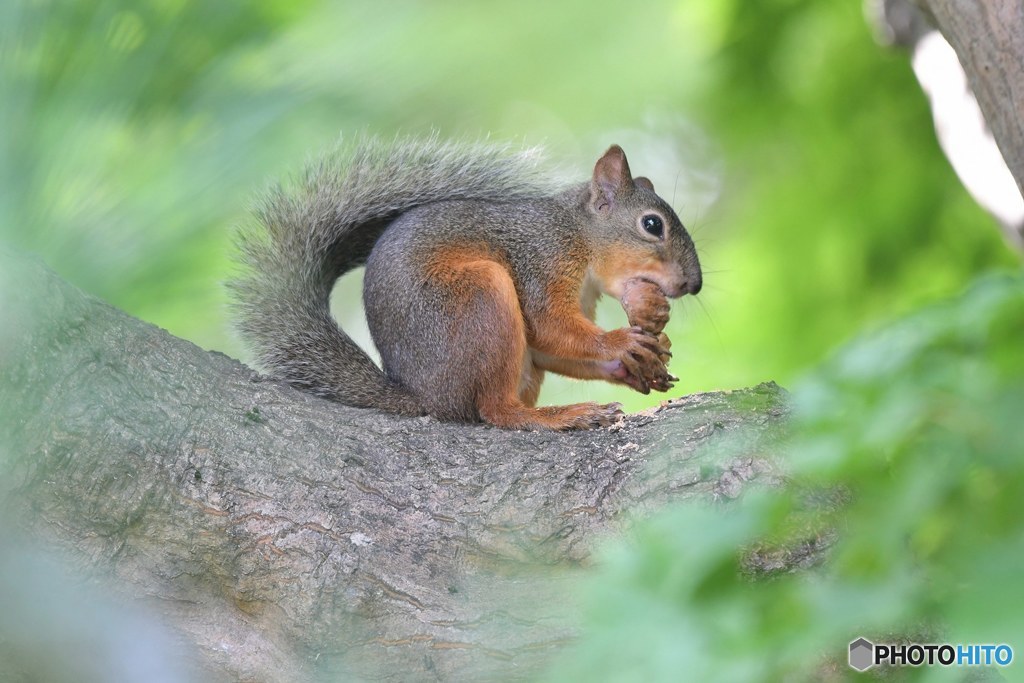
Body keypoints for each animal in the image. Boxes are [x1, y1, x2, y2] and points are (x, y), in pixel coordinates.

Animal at [230, 136, 704, 430]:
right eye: (652, 225)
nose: (694, 284)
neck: (578, 236)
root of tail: (425, 397)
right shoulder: (541, 262)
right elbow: (549, 325)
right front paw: (622, 342)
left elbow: (553, 348)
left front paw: (641, 363)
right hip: (480, 295)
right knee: (495, 411)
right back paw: (557, 416)